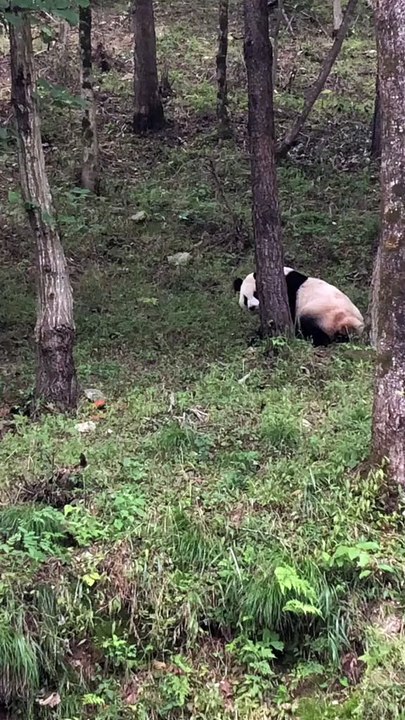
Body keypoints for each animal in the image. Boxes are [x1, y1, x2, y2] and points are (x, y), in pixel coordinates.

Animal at [233, 267, 364, 347]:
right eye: (245, 298)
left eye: (256, 293)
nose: (252, 307)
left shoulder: (289, 290)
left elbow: (290, 313)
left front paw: (257, 336)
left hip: (325, 313)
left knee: (309, 327)